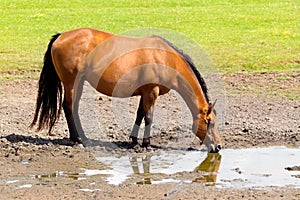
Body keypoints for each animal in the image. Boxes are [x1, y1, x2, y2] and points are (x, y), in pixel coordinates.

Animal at [29, 27, 223, 153]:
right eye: (210, 122)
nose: (219, 146)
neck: (164, 57)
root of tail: (61, 36)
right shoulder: (152, 92)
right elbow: (149, 118)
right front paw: (147, 144)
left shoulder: (144, 93)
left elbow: (139, 115)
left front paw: (134, 141)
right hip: (70, 84)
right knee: (68, 107)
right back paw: (76, 140)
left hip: (79, 83)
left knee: (74, 108)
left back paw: (83, 138)